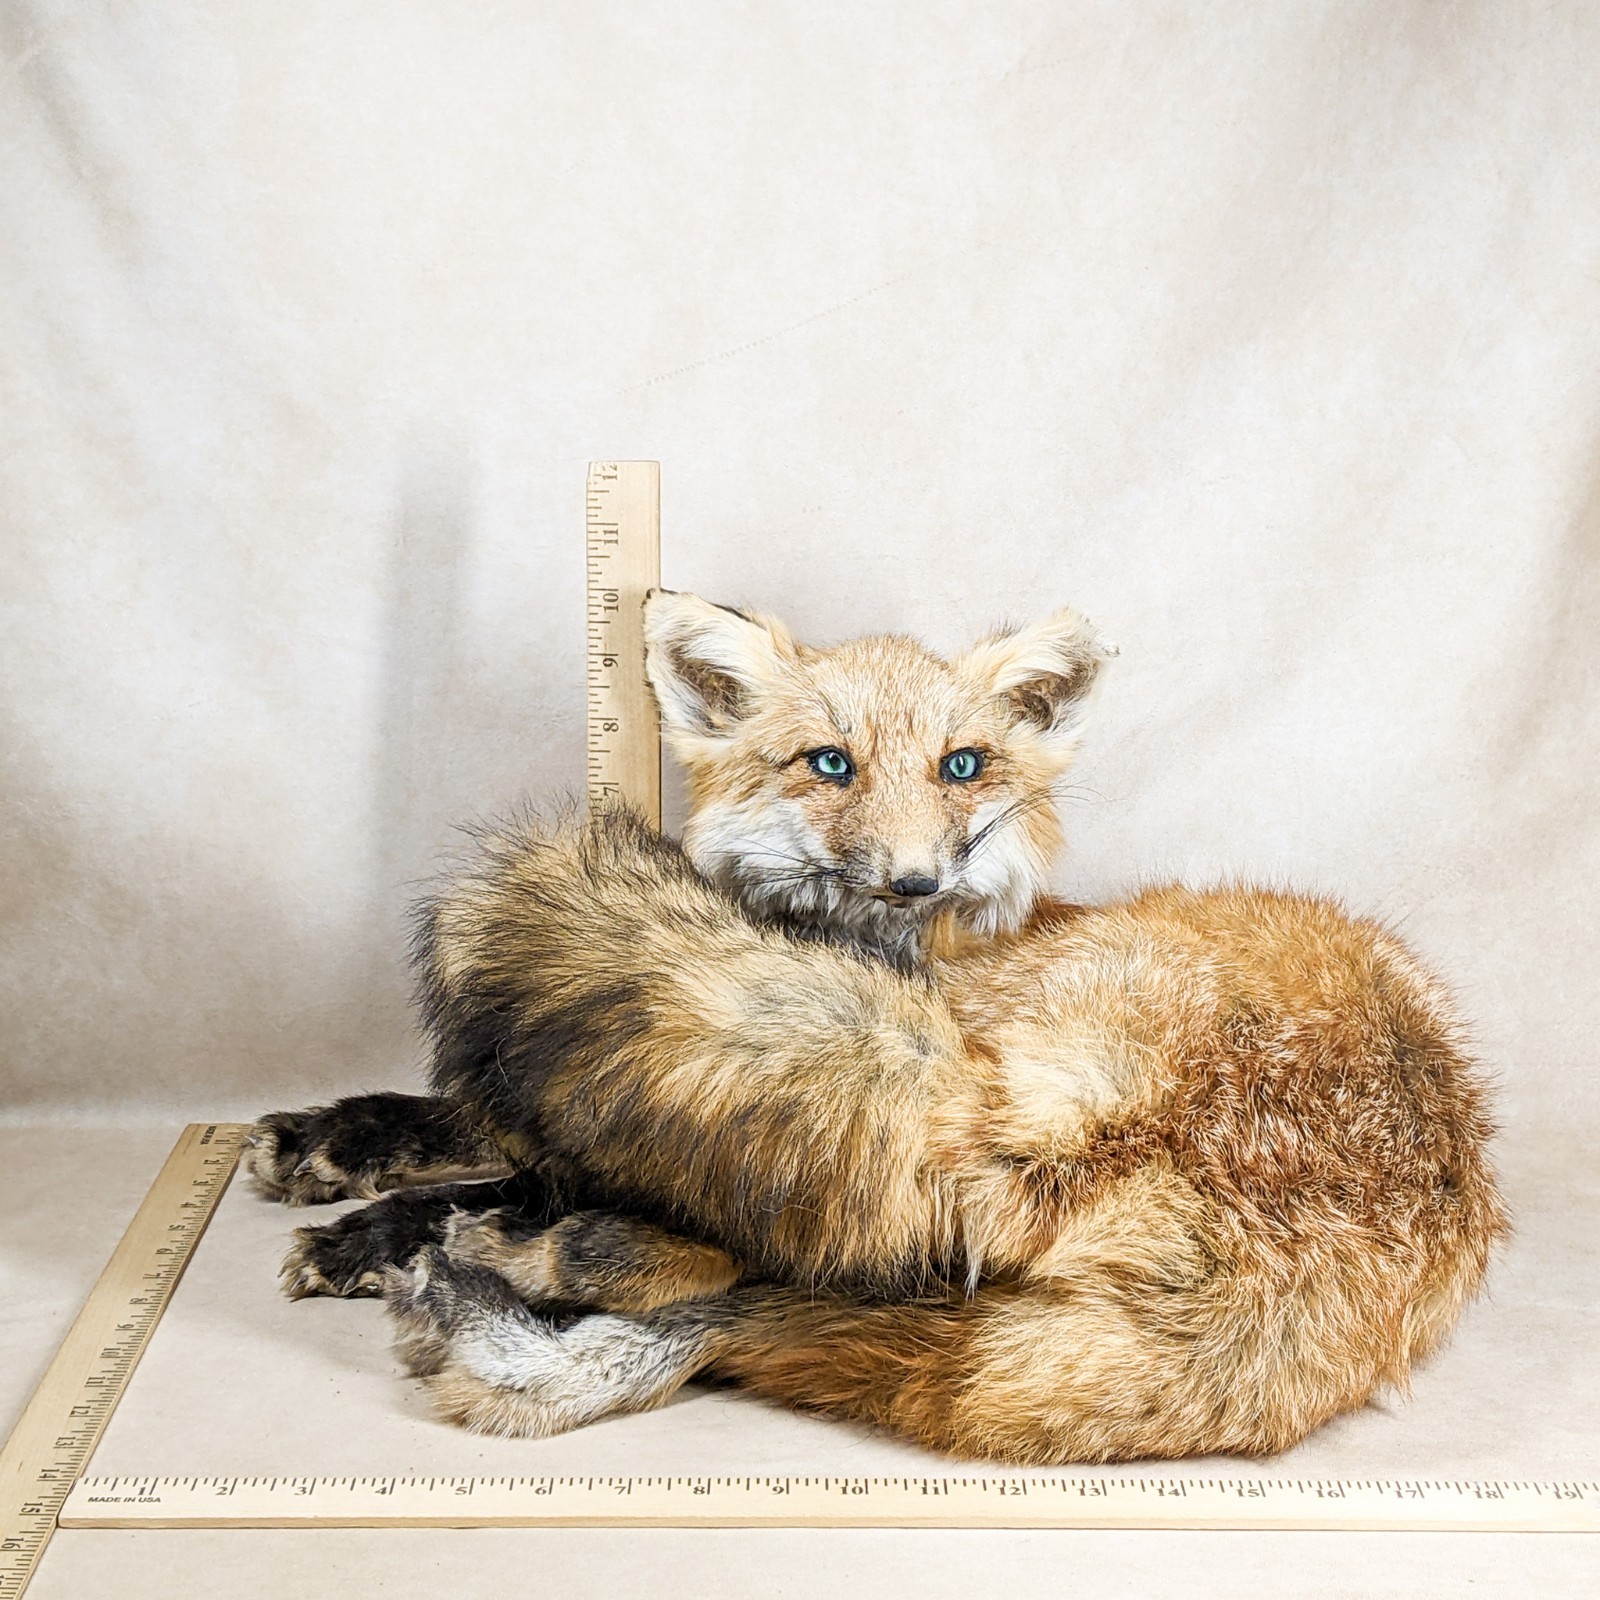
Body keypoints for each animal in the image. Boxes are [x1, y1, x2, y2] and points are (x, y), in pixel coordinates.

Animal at [246, 590, 1505, 1463]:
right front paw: (334, 1154)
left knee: (722, 1257)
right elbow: (464, 1120)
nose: (911, 880)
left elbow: (515, 1155)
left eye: (963, 764)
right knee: (766, 1302)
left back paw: (538, 1260)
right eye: (829, 762)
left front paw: (386, 1228)